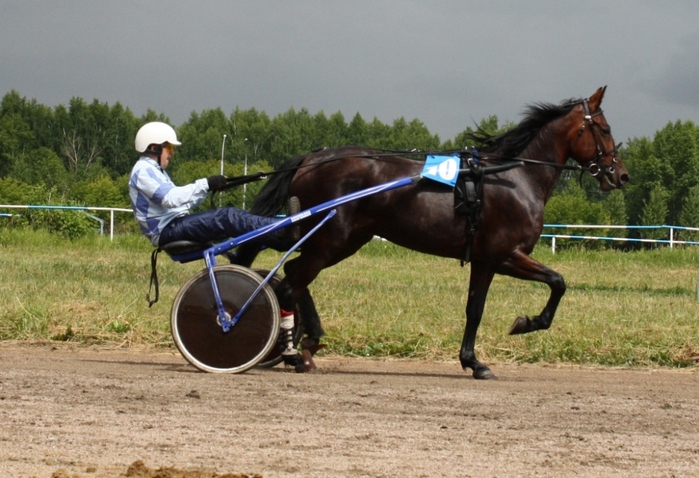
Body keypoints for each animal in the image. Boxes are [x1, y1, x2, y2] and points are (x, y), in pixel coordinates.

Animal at [241, 85, 628, 378]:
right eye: (606, 129)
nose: (621, 175)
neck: (514, 177)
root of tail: (311, 159)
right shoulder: (503, 255)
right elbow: (556, 283)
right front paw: (522, 326)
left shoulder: (486, 260)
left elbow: (475, 308)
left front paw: (472, 360)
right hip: (330, 239)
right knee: (291, 282)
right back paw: (293, 351)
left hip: (342, 240)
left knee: (294, 273)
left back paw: (310, 342)